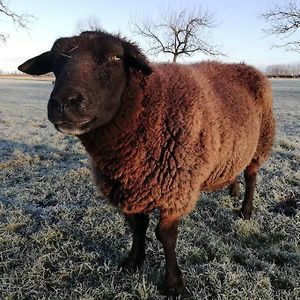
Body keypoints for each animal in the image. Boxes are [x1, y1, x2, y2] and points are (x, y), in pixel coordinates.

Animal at [18, 29, 276, 296]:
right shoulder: (133, 186)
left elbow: (166, 236)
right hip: (234, 148)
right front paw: (133, 262)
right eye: (55, 60)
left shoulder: (176, 188)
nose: (63, 103)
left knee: (252, 175)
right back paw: (232, 190)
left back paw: (246, 209)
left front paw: (173, 283)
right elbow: (138, 226)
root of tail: (245, 66)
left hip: (261, 141)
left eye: (116, 57)